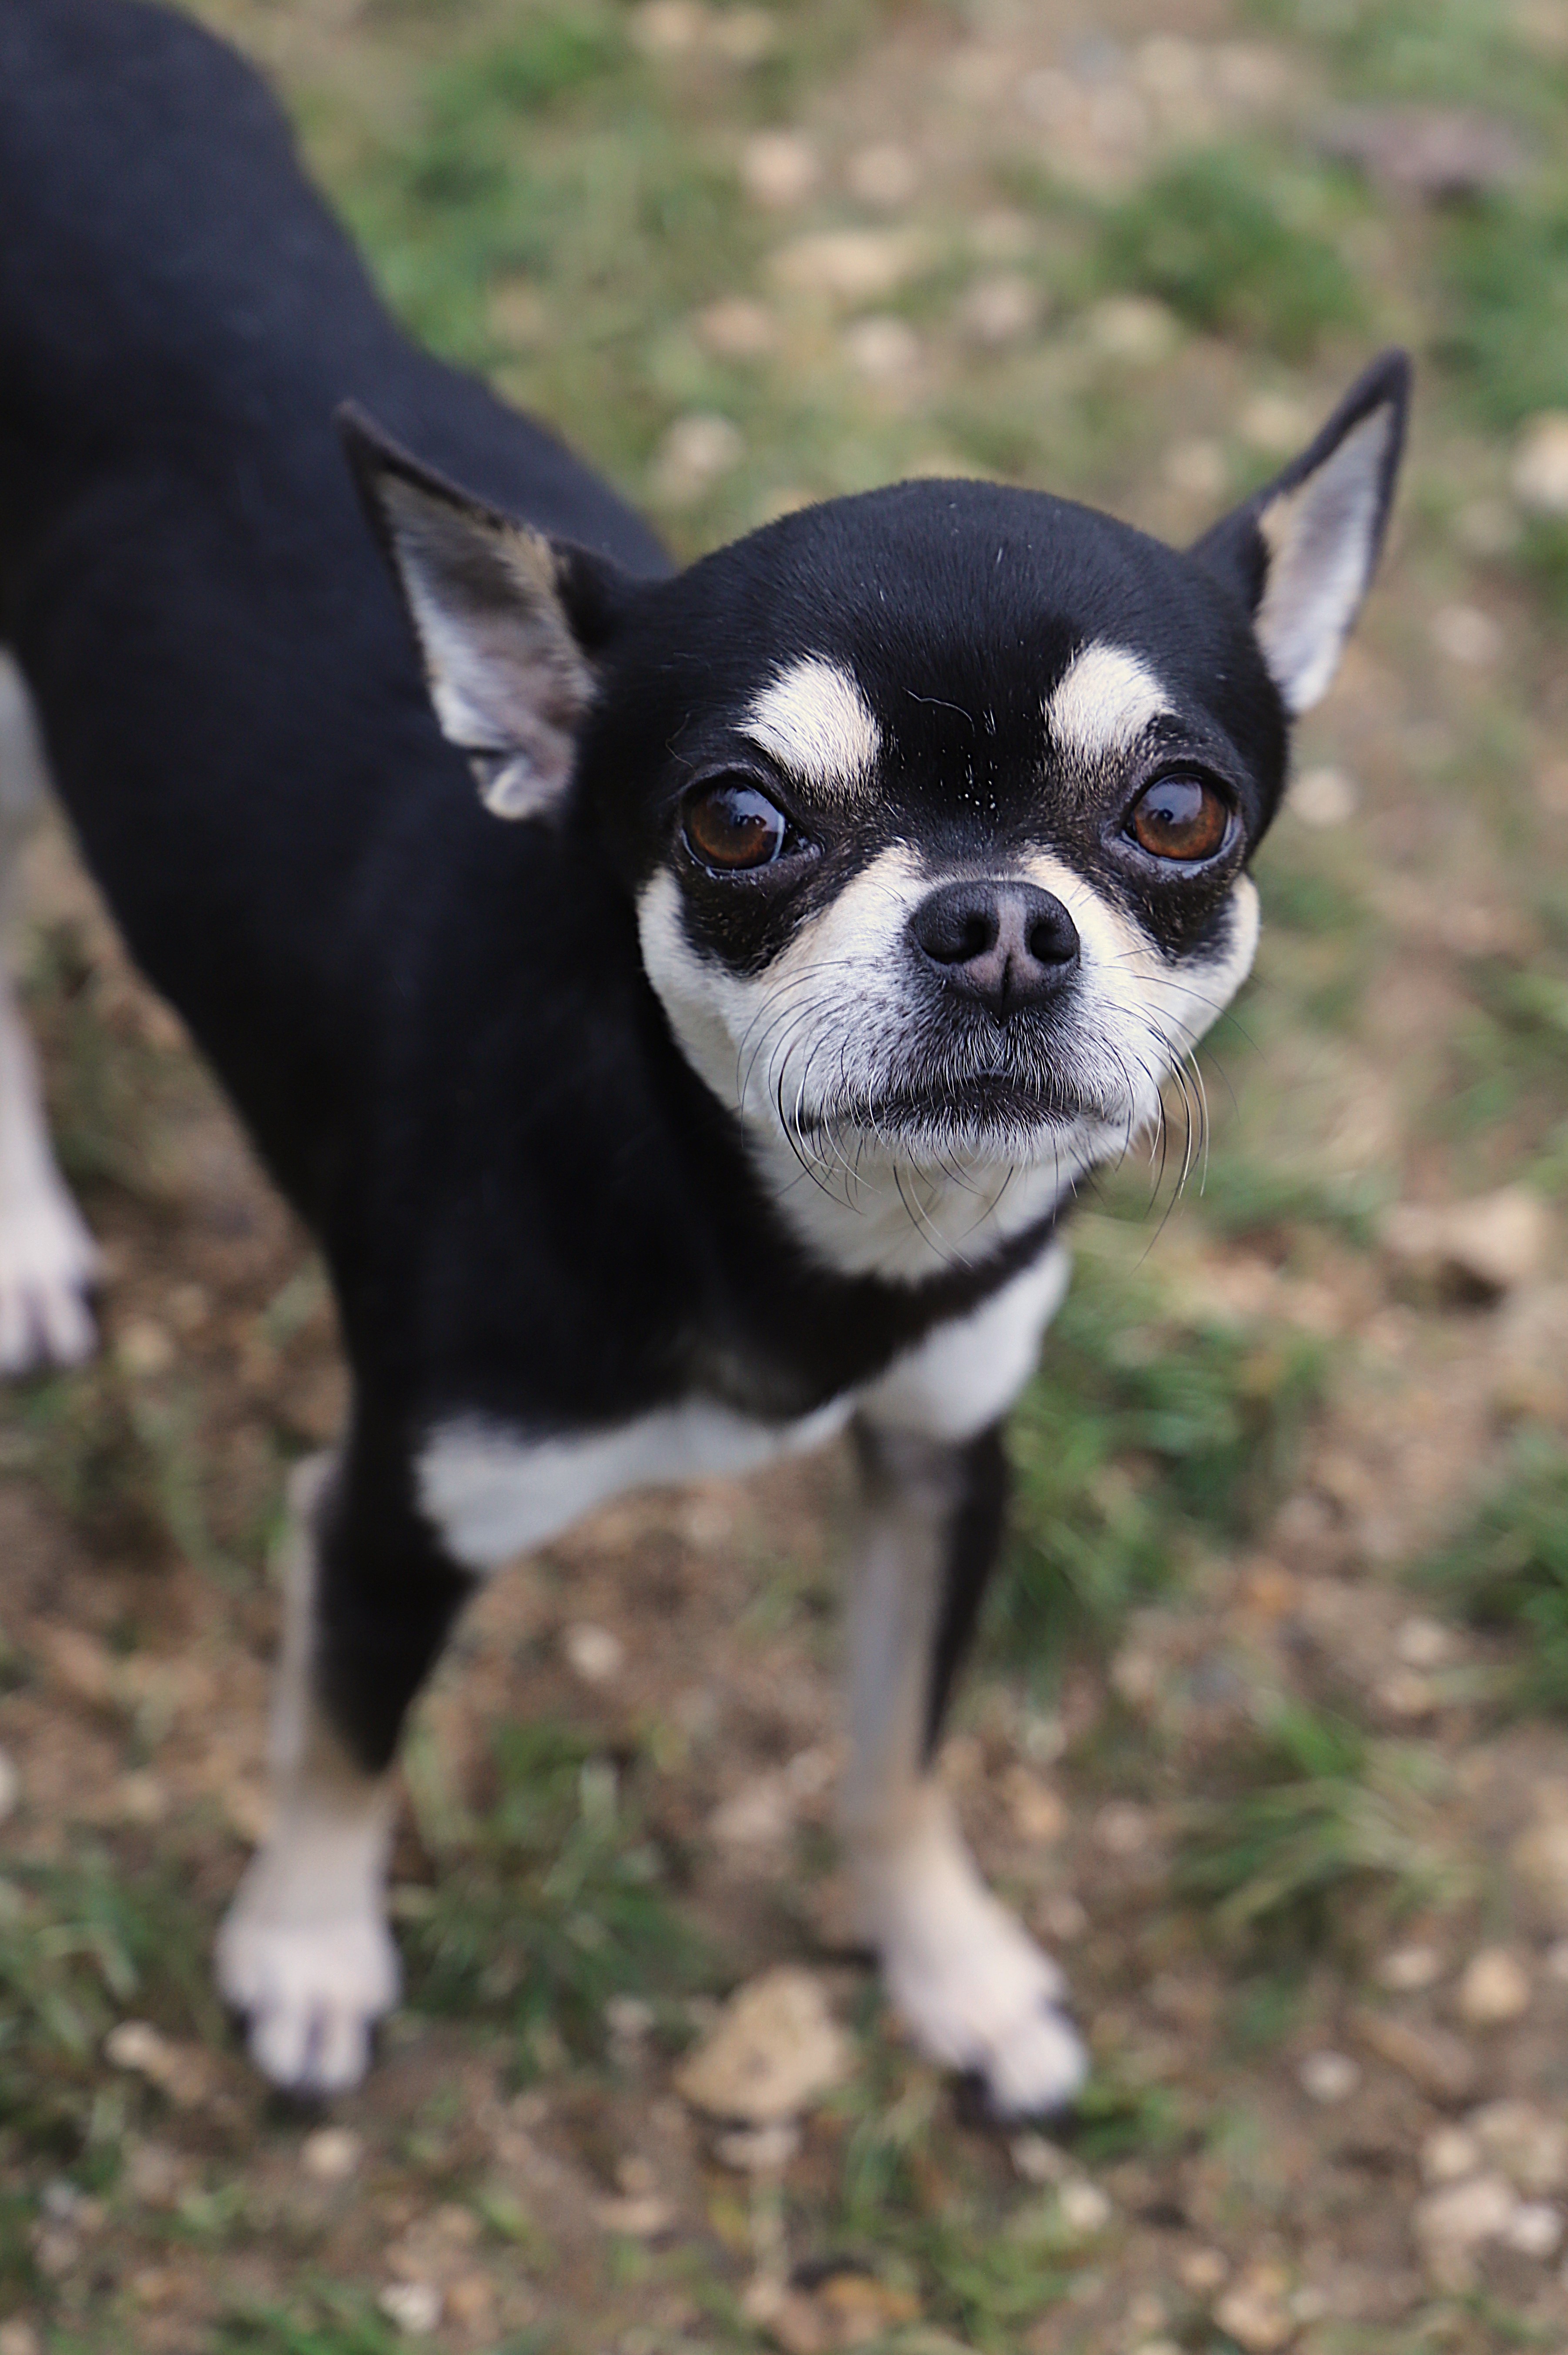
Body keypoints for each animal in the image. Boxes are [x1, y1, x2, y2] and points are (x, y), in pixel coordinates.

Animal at [0, 0, 1408, 2115]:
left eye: (1180, 813)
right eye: (736, 824)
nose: (998, 922)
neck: (777, 1218)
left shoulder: (940, 1458)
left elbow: (900, 1746)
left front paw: (950, 1963)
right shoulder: (398, 1516)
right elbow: (345, 1742)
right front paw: (307, 1950)